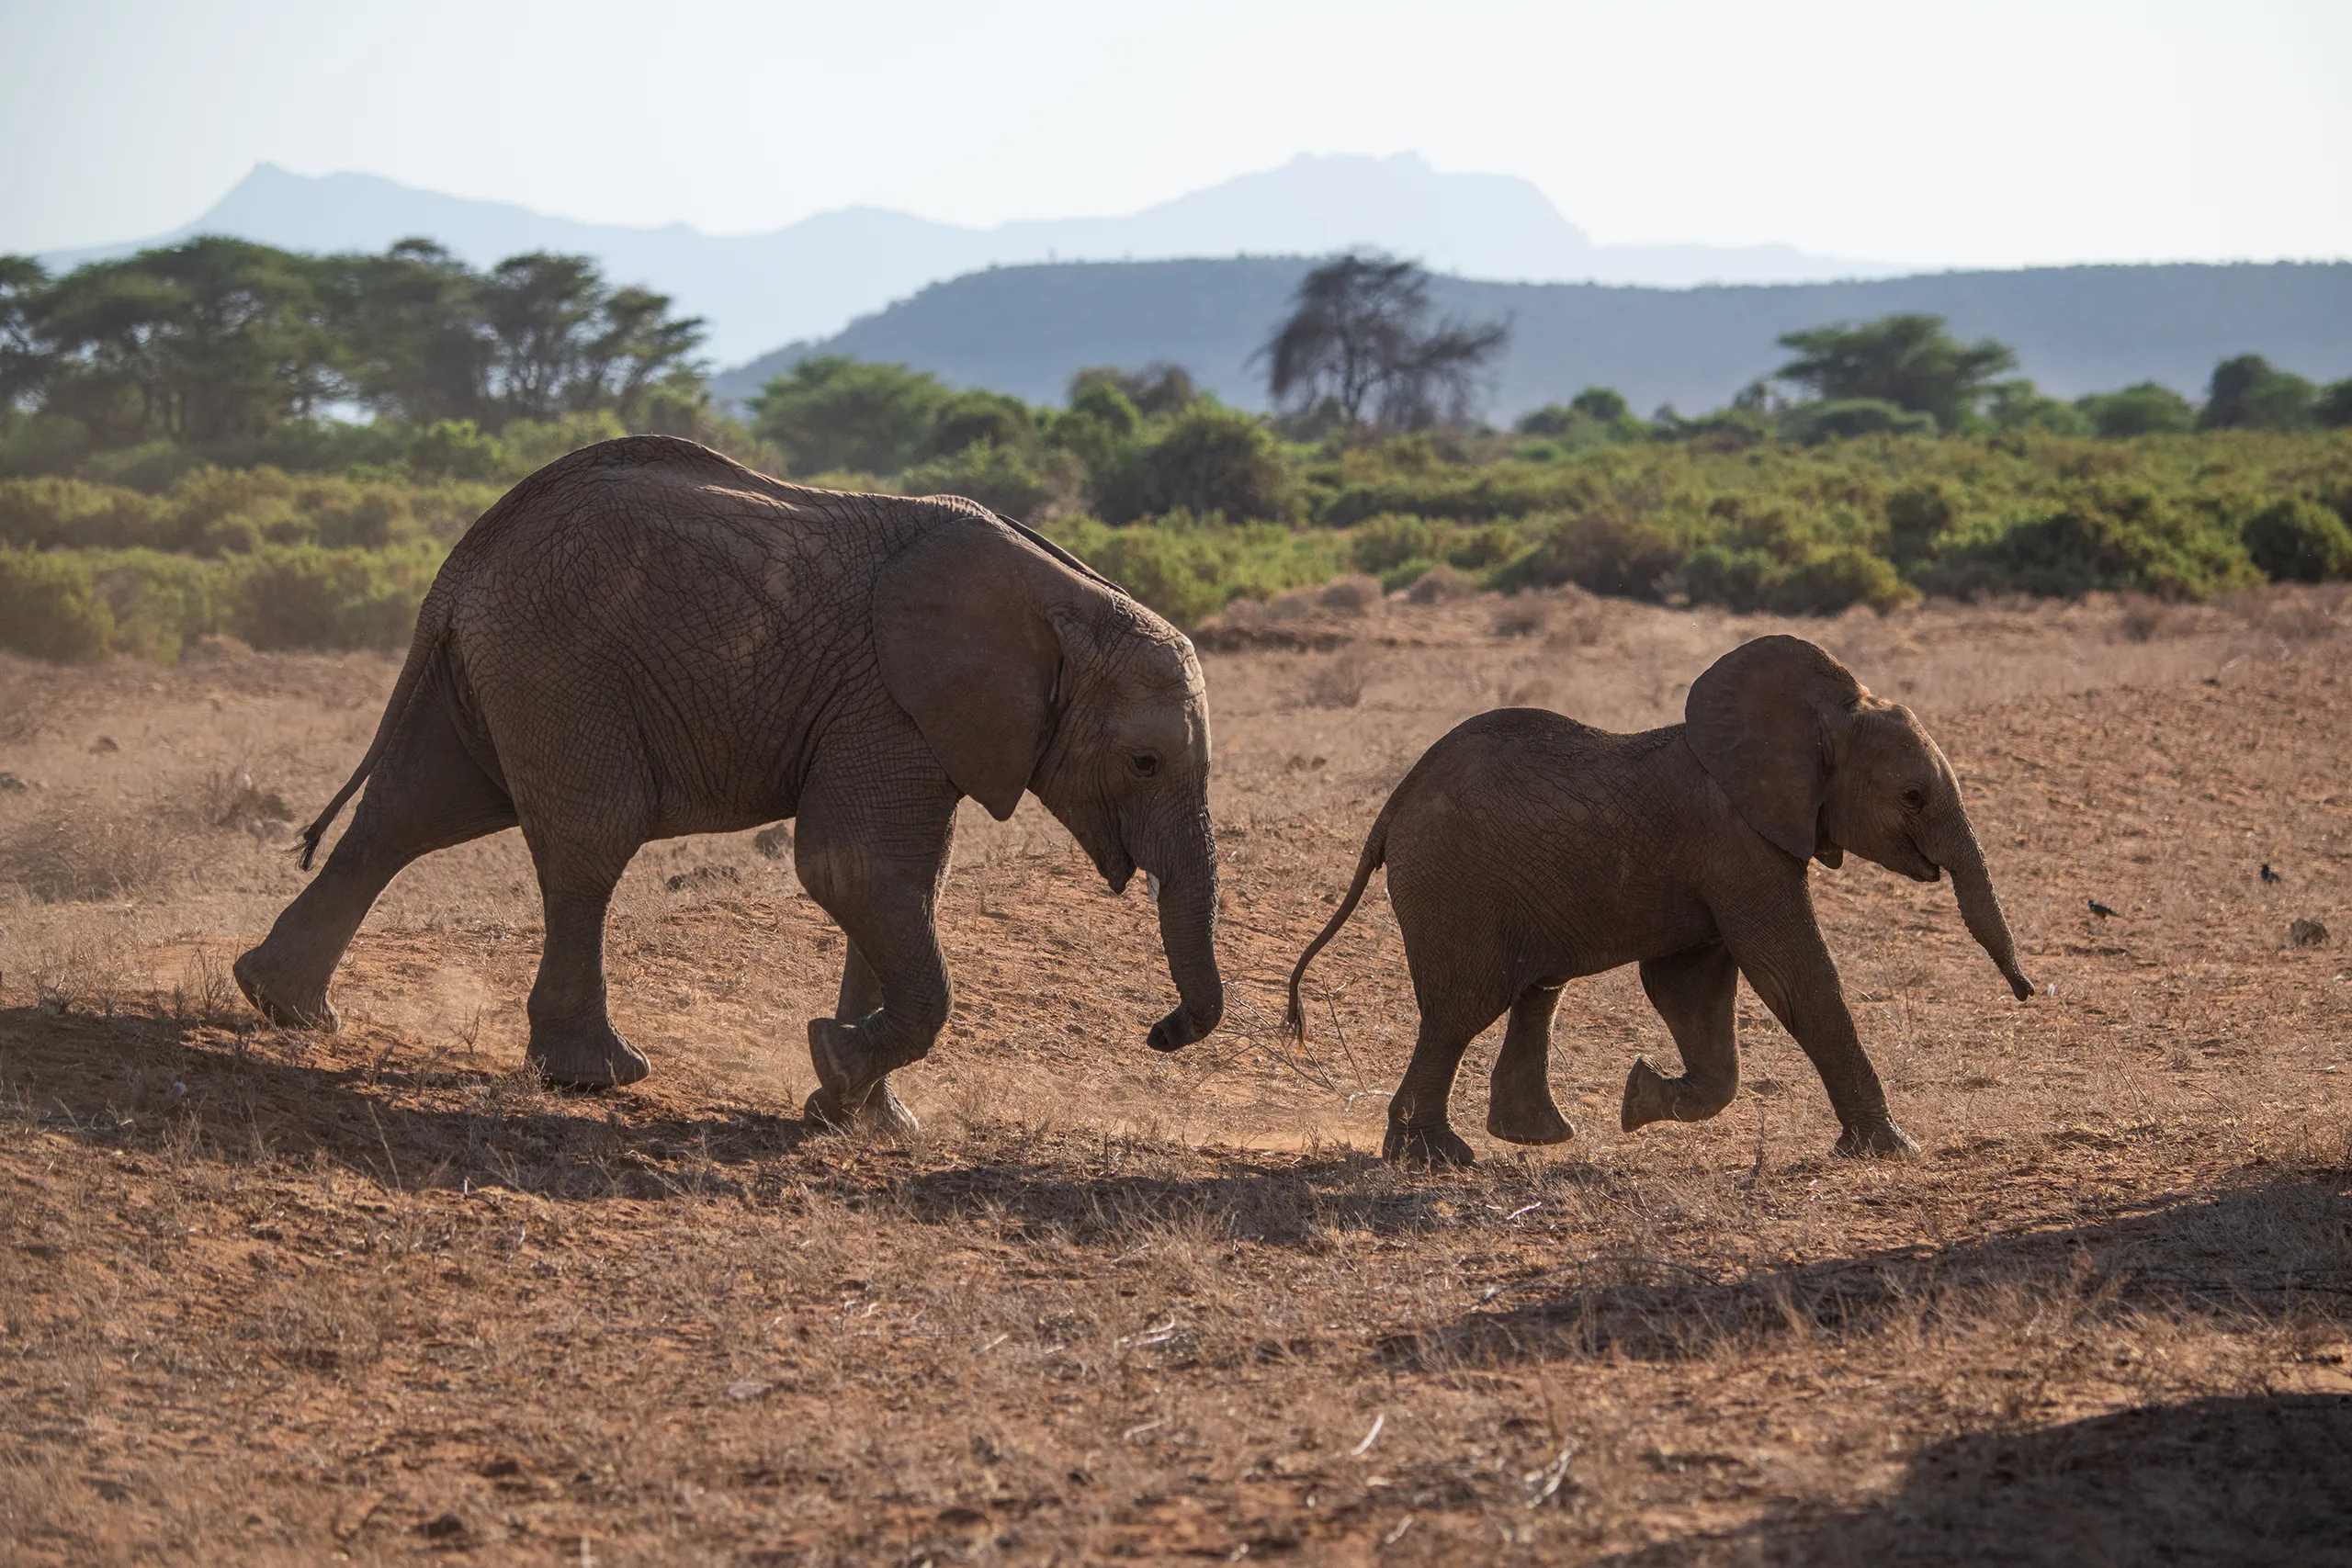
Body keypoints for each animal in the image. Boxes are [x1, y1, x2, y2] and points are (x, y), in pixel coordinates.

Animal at [233, 436, 1225, 1132]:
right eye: (1145, 761)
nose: (1160, 1031)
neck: (1070, 599)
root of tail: (461, 563)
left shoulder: (916, 721)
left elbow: (905, 881)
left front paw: (861, 1117)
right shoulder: (886, 702)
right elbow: (852, 868)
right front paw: (835, 1068)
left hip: (494, 672)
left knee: (408, 814)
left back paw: (285, 1009)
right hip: (558, 666)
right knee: (588, 846)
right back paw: (592, 1076)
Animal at [1281, 634, 2033, 1167]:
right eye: (1913, 796)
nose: (2027, 990)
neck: (1818, 718)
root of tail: (1392, 807)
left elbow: (1690, 988)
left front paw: (1638, 1098)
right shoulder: (1738, 846)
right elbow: (1792, 976)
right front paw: (1892, 1150)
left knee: (1533, 992)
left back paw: (1533, 1137)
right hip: (1454, 884)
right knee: (1463, 1007)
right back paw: (1437, 1159)